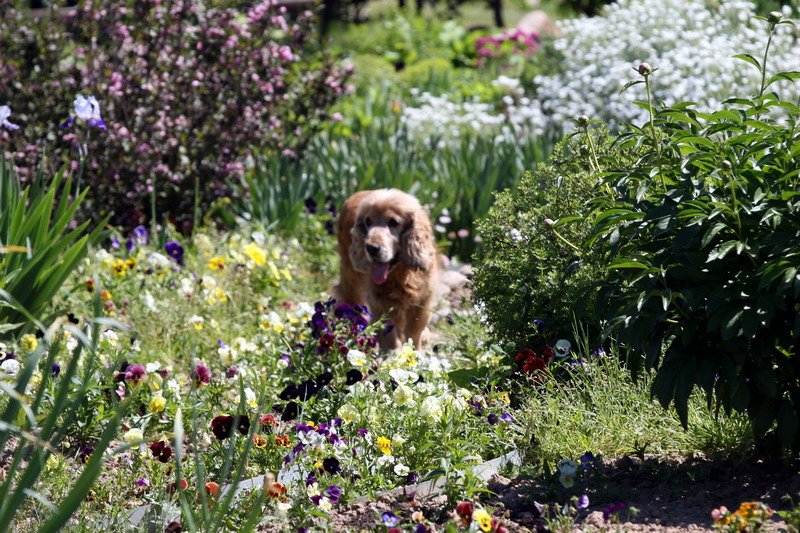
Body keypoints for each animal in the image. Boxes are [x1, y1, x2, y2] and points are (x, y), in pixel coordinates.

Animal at [336, 189, 440, 352]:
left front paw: (415, 352)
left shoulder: (424, 298)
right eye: (368, 222)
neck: (402, 274)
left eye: (393, 222)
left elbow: (415, 329)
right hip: (350, 277)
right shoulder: (380, 302)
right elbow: (389, 333)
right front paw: (392, 355)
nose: (371, 247)